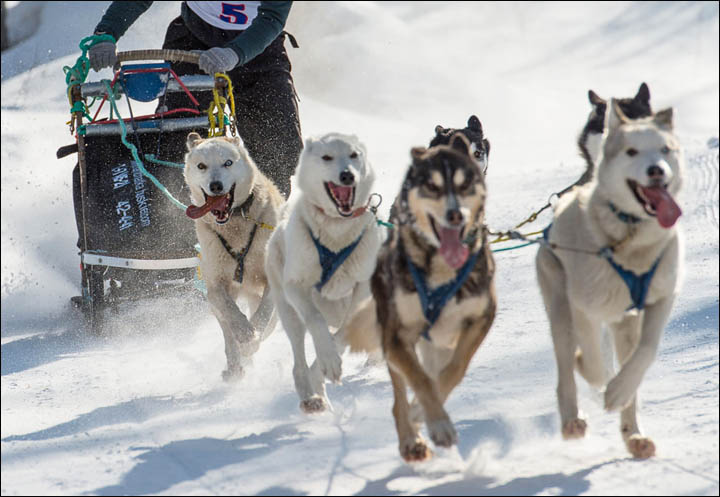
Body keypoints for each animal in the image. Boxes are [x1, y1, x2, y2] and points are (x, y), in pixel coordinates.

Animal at [183, 132, 284, 380]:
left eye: (227, 163)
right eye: (201, 166)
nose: (216, 185)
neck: (236, 225)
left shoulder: (272, 280)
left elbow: (263, 314)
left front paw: (252, 337)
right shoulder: (215, 285)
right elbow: (230, 311)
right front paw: (244, 333)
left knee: (269, 320)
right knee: (227, 330)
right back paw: (235, 366)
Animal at [536, 98, 684, 458]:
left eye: (665, 149)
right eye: (632, 151)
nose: (657, 170)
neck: (630, 241)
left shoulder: (662, 297)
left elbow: (646, 351)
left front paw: (619, 392)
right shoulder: (583, 308)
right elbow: (592, 363)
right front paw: (595, 374)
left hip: (624, 323)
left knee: (628, 361)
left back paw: (634, 434)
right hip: (560, 308)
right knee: (566, 369)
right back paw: (572, 419)